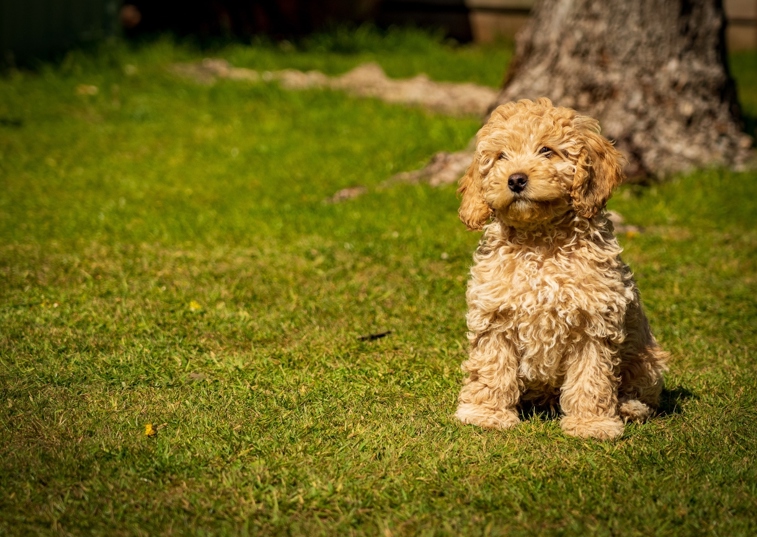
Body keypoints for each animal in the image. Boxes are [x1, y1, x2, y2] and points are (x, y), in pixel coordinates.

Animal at [452, 97, 664, 440]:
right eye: (500, 157)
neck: (540, 243)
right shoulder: (495, 316)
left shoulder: (595, 321)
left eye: (547, 150)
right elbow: (492, 367)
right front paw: (486, 413)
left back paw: (630, 408)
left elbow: (592, 377)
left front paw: (592, 424)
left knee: (640, 391)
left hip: (645, 357)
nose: (515, 179)